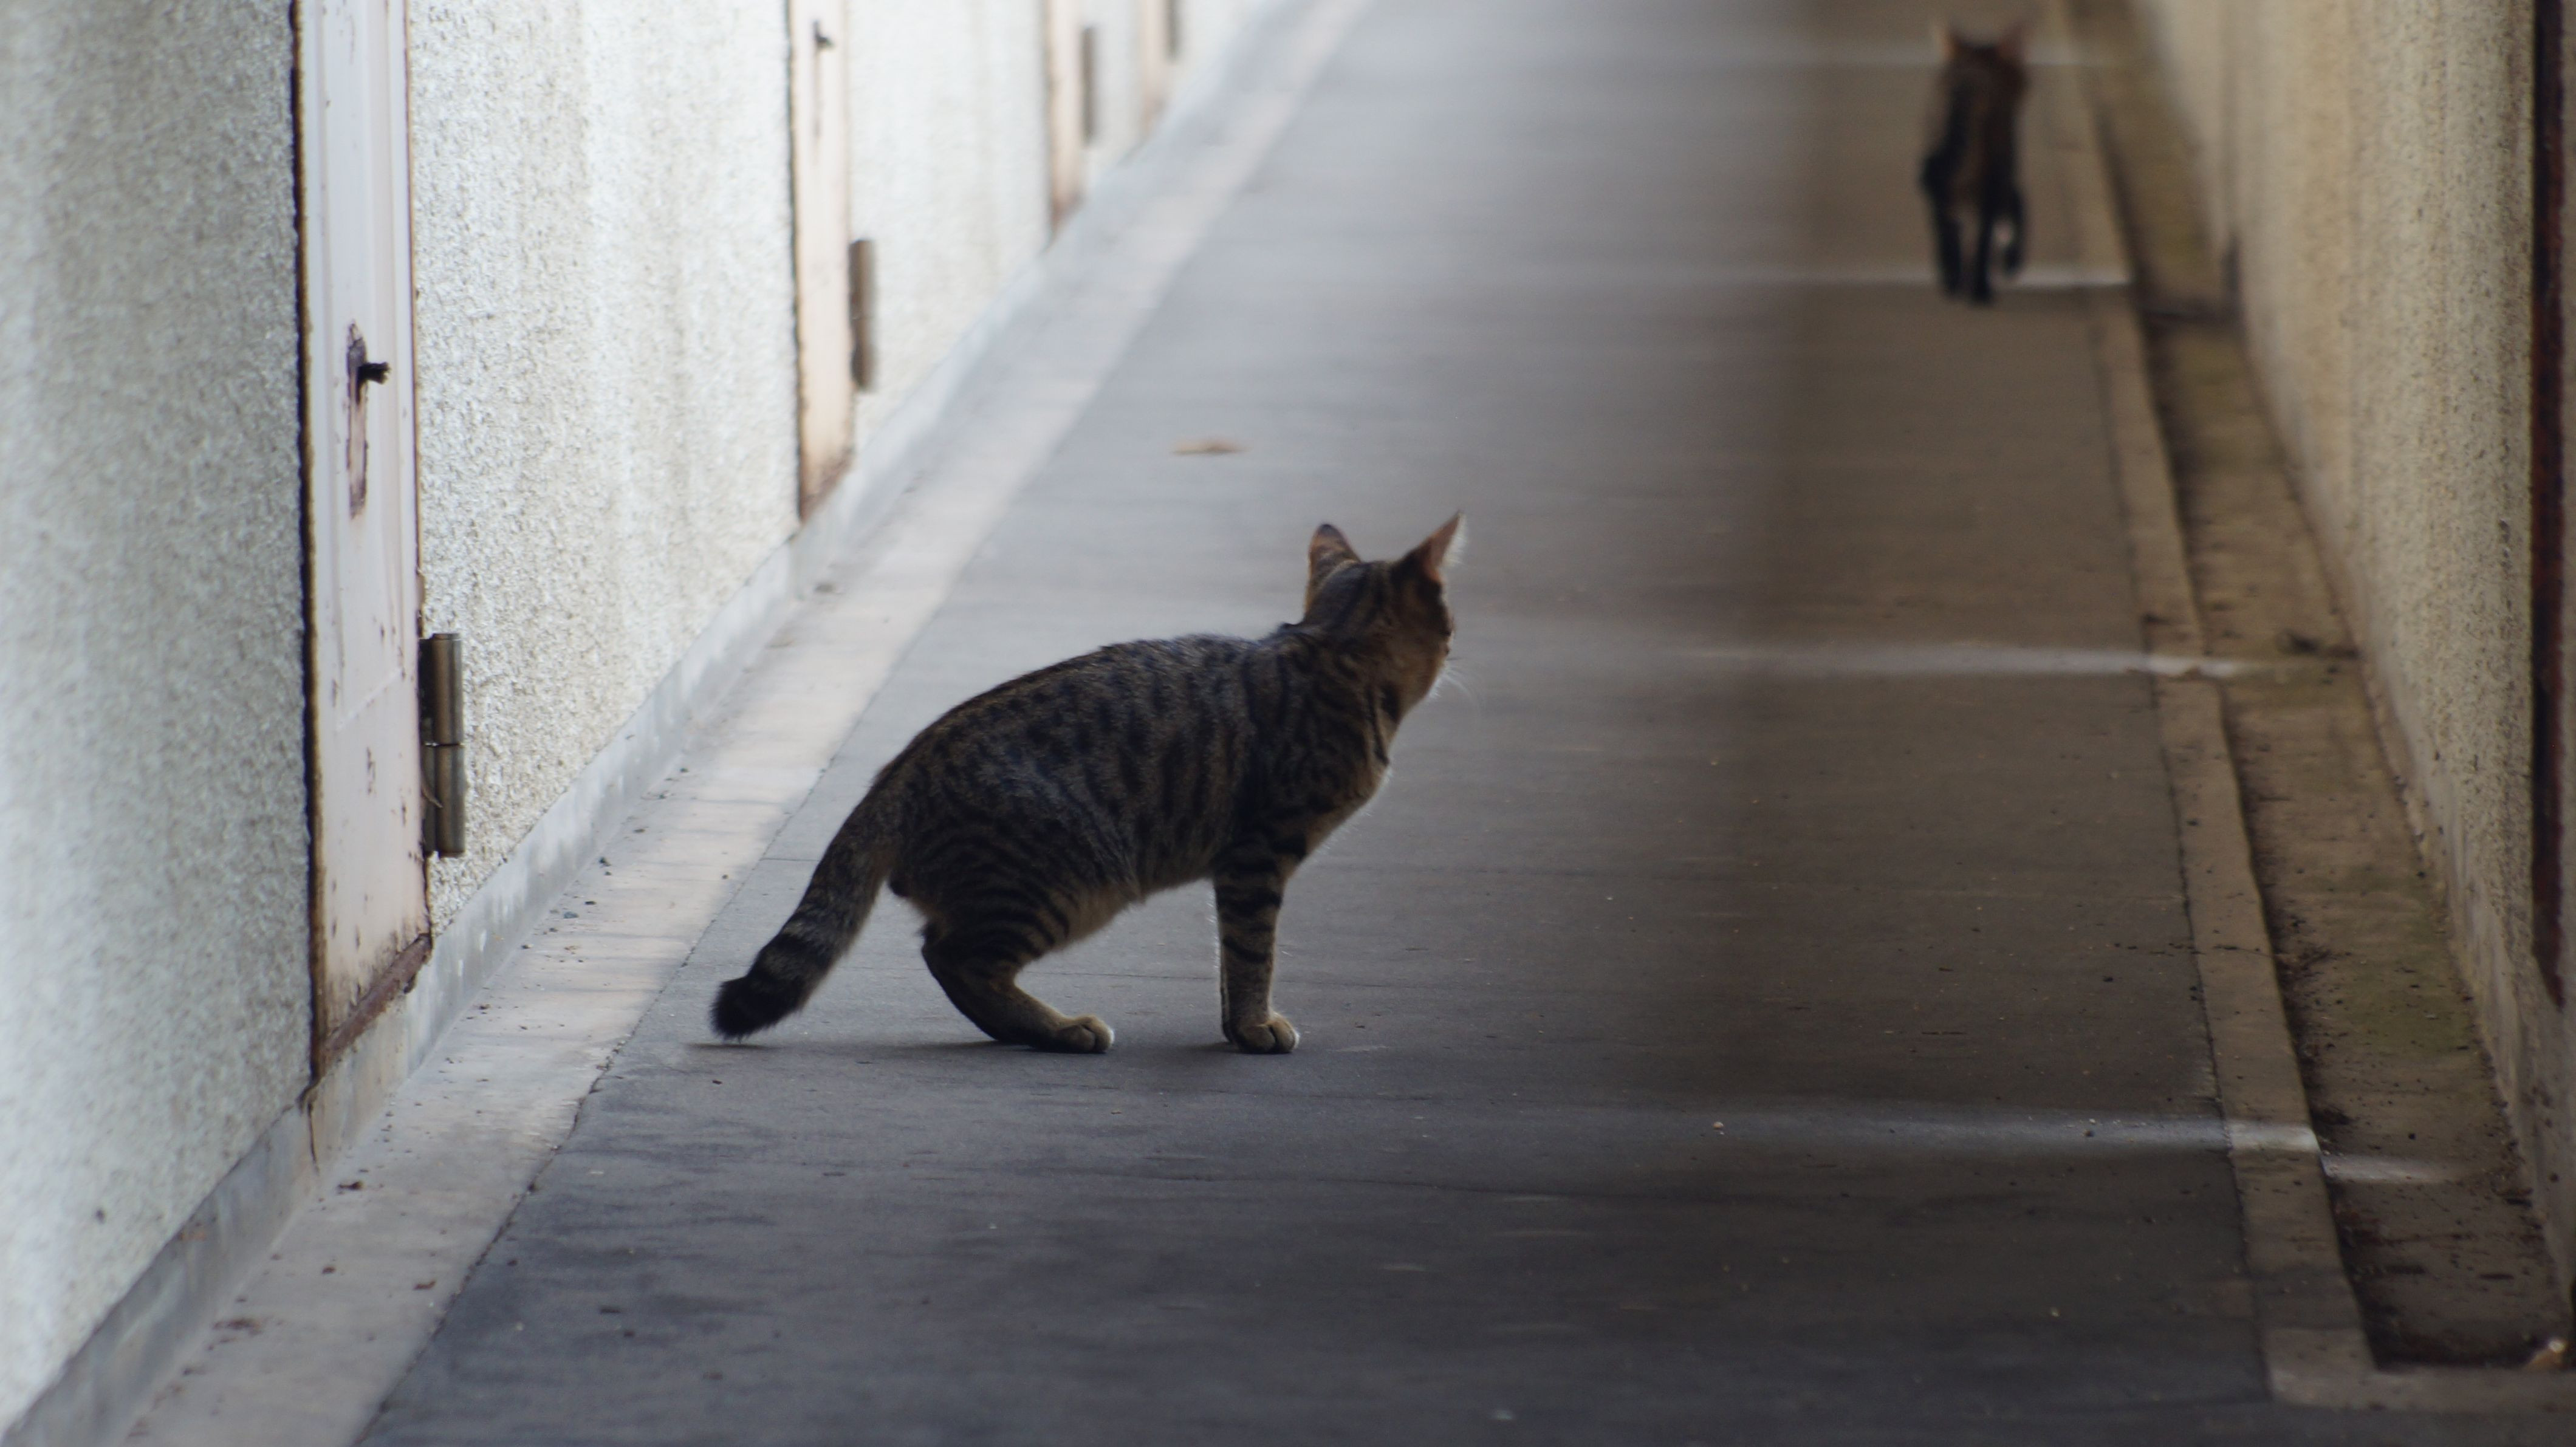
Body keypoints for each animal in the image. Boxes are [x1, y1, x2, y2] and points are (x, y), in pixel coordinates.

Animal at [711, 517, 1460, 1054]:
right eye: (1448, 623)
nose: (1457, 643)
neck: (1331, 654)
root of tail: (893, 777)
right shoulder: (1258, 856)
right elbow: (1253, 952)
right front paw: (1255, 1026)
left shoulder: (1234, 867)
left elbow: (1229, 957)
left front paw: (1234, 1023)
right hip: (1070, 881)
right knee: (953, 958)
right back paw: (1058, 1029)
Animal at [1919, 20, 2029, 305]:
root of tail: (1967, 84)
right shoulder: (2004, 168)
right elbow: (2012, 210)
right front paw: (2008, 261)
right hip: (1991, 170)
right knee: (1981, 228)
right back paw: (1979, 289)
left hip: (1943, 167)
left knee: (1944, 224)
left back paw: (1952, 280)